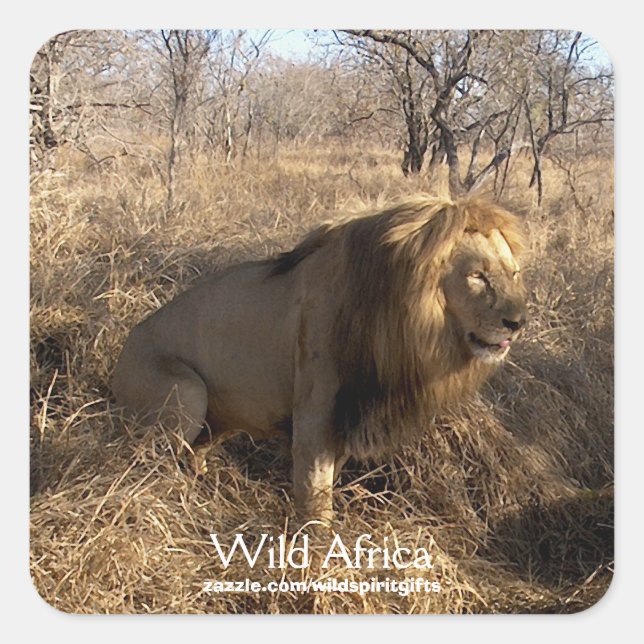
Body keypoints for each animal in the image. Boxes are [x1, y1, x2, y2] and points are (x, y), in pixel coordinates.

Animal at [112, 195, 527, 521]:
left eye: (513, 273)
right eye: (477, 276)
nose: (518, 322)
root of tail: (124, 348)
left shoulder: (347, 417)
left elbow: (326, 482)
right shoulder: (316, 411)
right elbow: (315, 496)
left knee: (193, 453)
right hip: (185, 394)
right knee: (145, 463)